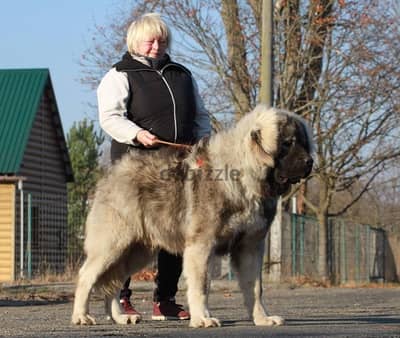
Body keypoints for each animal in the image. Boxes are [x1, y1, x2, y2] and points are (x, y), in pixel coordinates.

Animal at [72, 105, 316, 328]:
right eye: (287, 143)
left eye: (304, 143)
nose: (310, 162)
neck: (242, 176)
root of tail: (109, 175)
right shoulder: (201, 245)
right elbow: (201, 286)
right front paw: (202, 318)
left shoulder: (250, 247)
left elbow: (255, 287)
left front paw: (262, 318)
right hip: (113, 244)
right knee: (86, 276)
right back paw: (82, 316)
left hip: (136, 251)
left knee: (113, 282)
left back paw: (120, 317)